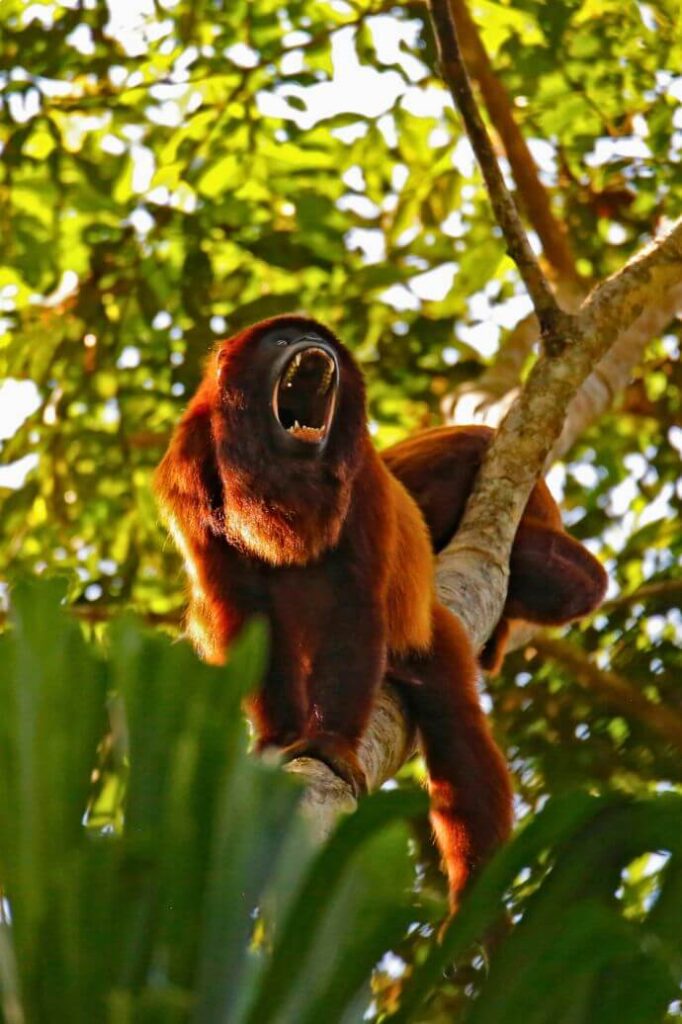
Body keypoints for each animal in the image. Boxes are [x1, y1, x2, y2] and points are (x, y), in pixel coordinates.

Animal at [151, 315, 598, 909]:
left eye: (316, 338)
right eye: (279, 340)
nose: (312, 345)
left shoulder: (359, 471)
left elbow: (354, 600)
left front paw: (330, 745)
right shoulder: (187, 470)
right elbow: (243, 617)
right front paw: (279, 740)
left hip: (431, 632)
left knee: (458, 733)